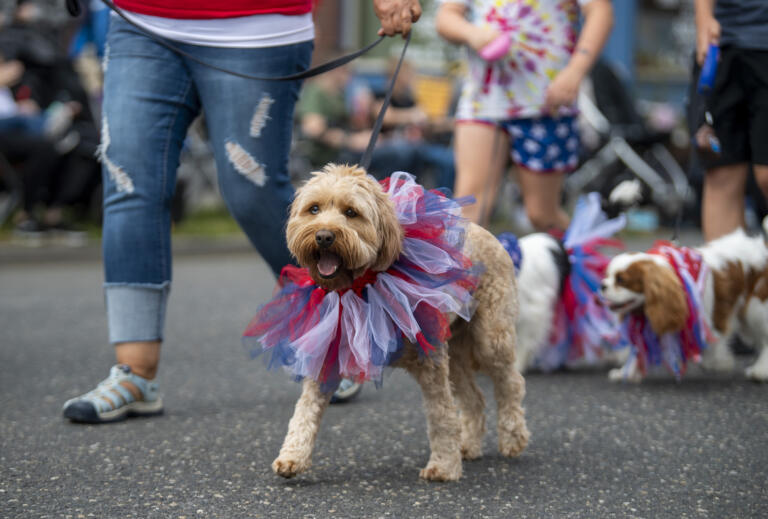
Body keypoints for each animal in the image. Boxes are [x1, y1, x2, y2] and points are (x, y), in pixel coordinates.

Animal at [264, 165, 528, 482]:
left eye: (351, 212)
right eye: (313, 209)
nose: (324, 236)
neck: (361, 285)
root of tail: (487, 232)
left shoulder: (431, 361)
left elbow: (441, 415)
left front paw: (443, 466)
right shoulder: (328, 349)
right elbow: (305, 409)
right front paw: (293, 456)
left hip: (491, 336)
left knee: (511, 383)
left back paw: (513, 439)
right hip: (455, 349)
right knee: (474, 398)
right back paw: (468, 446)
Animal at [600, 221, 768, 384]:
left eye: (621, 280)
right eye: (607, 275)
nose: (602, 285)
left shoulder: (709, 323)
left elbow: (711, 346)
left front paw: (719, 363)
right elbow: (639, 351)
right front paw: (627, 373)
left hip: (754, 309)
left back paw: (760, 371)